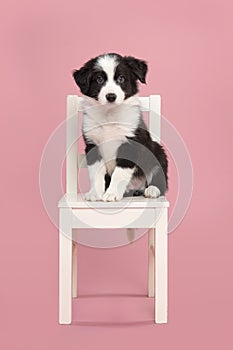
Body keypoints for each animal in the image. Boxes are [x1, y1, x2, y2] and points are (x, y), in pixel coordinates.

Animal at [73, 51, 167, 200]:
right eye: (99, 79)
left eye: (121, 78)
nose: (111, 96)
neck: (109, 115)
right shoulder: (92, 144)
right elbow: (95, 173)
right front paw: (95, 193)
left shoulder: (130, 144)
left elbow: (119, 173)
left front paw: (112, 194)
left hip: (157, 151)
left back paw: (152, 190)